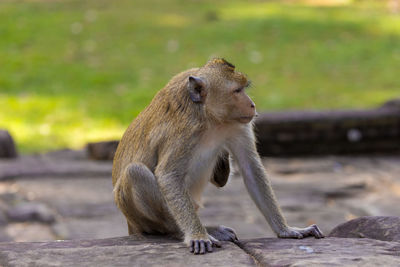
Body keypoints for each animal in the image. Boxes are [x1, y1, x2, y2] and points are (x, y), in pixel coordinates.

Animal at [111, 58, 324, 255]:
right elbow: (168, 176)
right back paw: (186, 231)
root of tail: (130, 223)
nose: (252, 105)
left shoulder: (237, 125)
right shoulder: (184, 133)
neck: (210, 118)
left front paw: (286, 229)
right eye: (237, 91)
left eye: (243, 88)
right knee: (135, 172)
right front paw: (197, 235)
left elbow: (251, 169)